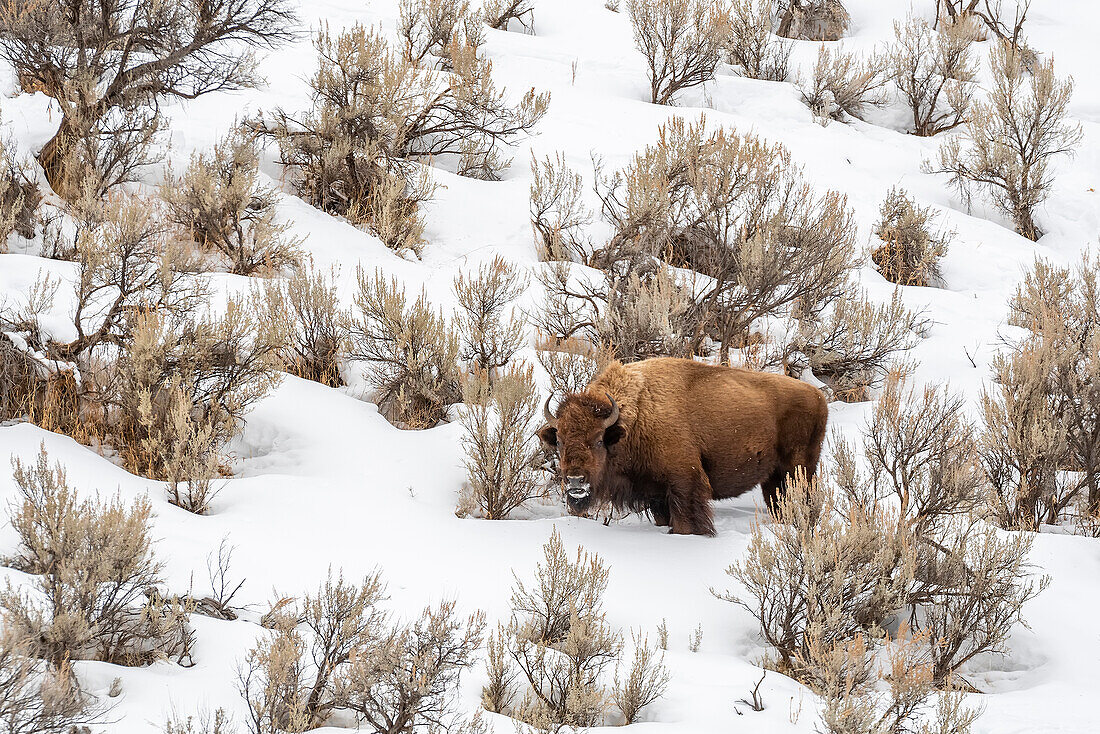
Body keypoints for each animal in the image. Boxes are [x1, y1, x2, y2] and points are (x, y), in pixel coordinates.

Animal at [536, 358, 827, 537]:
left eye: (598, 439)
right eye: (559, 440)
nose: (575, 480)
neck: (638, 415)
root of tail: (818, 396)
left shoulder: (684, 484)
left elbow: (686, 522)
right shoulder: (656, 495)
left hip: (800, 470)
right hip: (773, 479)